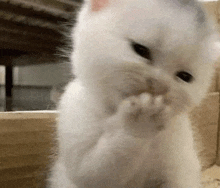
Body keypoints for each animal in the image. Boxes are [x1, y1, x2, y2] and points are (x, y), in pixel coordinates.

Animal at [48, 0, 218, 187]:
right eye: (140, 50)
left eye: (185, 76)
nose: (158, 85)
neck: (114, 110)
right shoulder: (74, 113)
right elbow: (93, 171)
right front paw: (140, 121)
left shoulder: (182, 162)